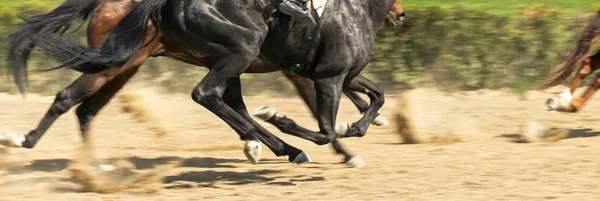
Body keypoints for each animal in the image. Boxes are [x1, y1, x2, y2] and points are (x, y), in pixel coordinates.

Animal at [2, 0, 406, 166]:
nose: (401, 13)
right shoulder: (309, 72)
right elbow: (325, 120)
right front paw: (346, 150)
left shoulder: (321, 71)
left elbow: (371, 95)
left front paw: (364, 123)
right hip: (132, 64)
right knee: (69, 97)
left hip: (127, 66)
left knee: (86, 108)